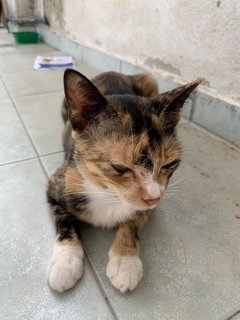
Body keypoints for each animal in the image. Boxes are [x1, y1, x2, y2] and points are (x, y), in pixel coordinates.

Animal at [46, 70, 200, 292]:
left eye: (170, 164)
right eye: (119, 167)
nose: (154, 198)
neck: (107, 191)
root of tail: (113, 72)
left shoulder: (152, 201)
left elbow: (134, 220)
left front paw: (125, 262)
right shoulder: (59, 183)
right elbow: (64, 221)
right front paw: (65, 263)